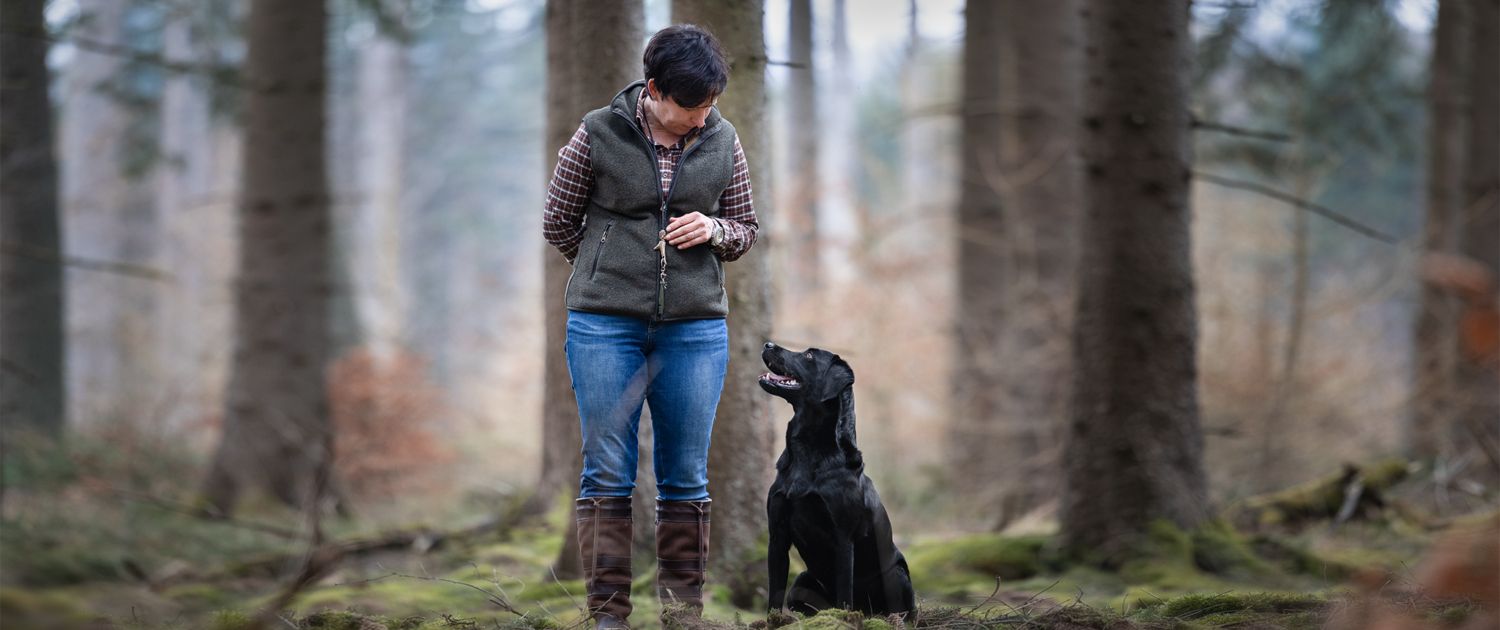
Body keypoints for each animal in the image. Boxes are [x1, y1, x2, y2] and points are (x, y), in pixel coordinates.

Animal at [762, 342, 912, 618]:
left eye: (809, 355)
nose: (767, 344)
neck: (808, 450)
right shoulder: (777, 535)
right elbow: (774, 590)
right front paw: (772, 621)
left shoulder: (843, 537)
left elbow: (844, 592)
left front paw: (842, 618)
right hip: (801, 581)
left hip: (896, 576)